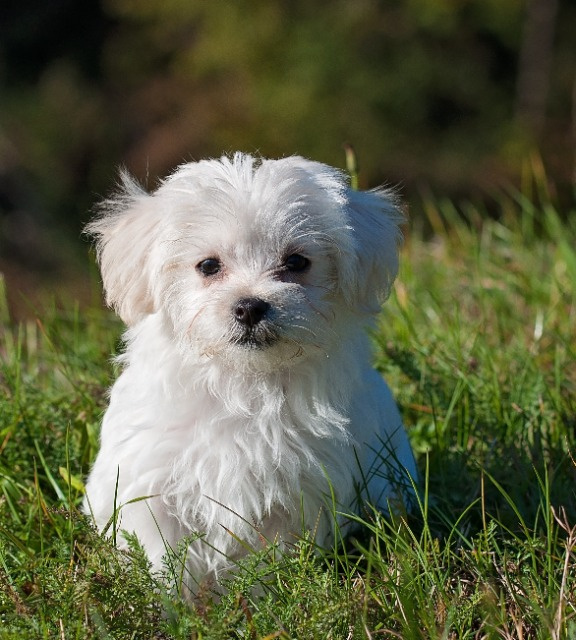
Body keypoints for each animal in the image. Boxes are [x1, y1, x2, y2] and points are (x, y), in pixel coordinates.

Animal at [83, 152, 416, 596]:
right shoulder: (151, 485)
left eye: (296, 262)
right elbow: (163, 558)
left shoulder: (299, 493)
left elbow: (272, 559)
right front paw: (170, 605)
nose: (249, 306)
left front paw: (263, 599)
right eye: (208, 265)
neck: (243, 383)